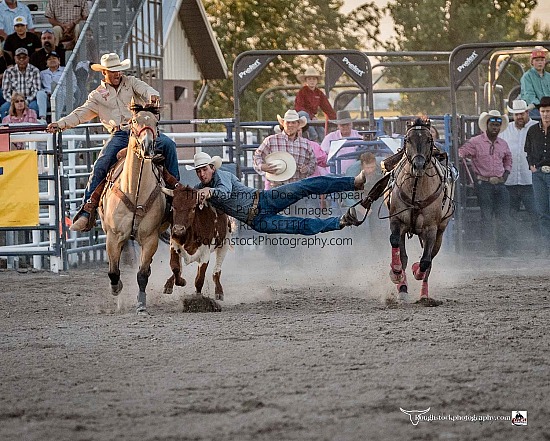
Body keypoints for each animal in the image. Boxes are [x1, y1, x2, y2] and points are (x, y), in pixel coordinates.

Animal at [98, 101, 168, 312]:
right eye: (134, 121)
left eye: (156, 122)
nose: (147, 146)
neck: (134, 192)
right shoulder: (113, 236)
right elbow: (113, 271)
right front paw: (116, 289)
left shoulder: (150, 238)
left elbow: (142, 274)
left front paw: (141, 303)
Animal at [388, 120, 458, 306]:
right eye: (408, 139)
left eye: (429, 140)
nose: (418, 165)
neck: (415, 189)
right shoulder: (397, 221)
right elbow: (397, 247)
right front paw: (396, 274)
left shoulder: (431, 229)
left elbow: (425, 261)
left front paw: (416, 270)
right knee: (404, 256)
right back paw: (402, 289)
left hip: (439, 233)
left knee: (429, 260)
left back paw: (424, 296)